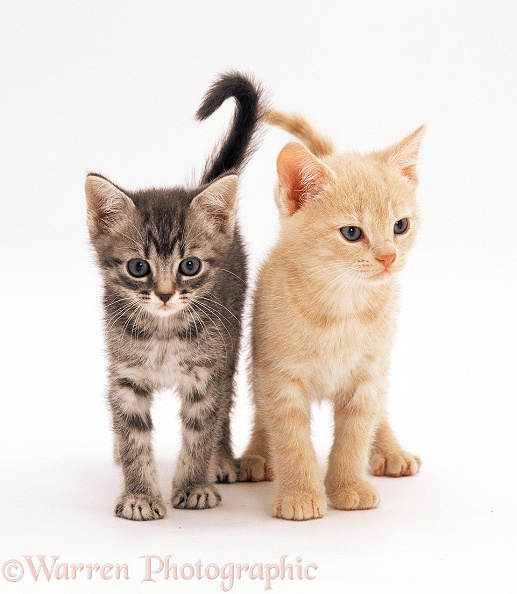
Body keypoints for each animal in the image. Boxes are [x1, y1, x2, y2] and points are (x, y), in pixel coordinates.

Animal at [85, 71, 264, 520]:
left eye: (189, 266)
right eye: (138, 267)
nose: (165, 294)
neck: (164, 332)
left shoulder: (209, 374)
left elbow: (202, 430)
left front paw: (194, 485)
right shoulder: (125, 377)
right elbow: (132, 435)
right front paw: (139, 495)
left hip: (230, 345)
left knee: (225, 410)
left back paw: (222, 460)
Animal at [238, 108, 424, 516]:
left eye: (400, 226)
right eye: (352, 233)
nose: (389, 257)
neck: (341, 308)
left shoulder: (368, 377)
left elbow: (355, 436)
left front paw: (348, 486)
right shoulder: (279, 376)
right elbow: (291, 440)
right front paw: (300, 495)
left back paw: (391, 450)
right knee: (260, 412)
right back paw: (256, 455)